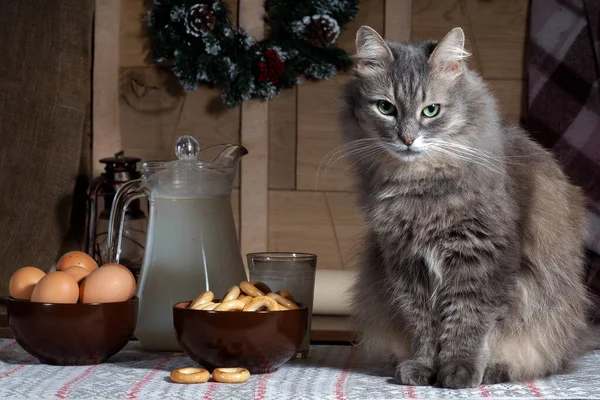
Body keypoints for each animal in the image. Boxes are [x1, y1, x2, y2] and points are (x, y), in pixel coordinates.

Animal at [338, 25, 596, 388]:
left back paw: (494, 371)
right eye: (386, 108)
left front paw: (458, 371)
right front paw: (422, 368)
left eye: (431, 110)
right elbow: (422, 325)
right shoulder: (406, 264)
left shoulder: (481, 261)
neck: (419, 188)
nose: (407, 139)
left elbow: (467, 322)